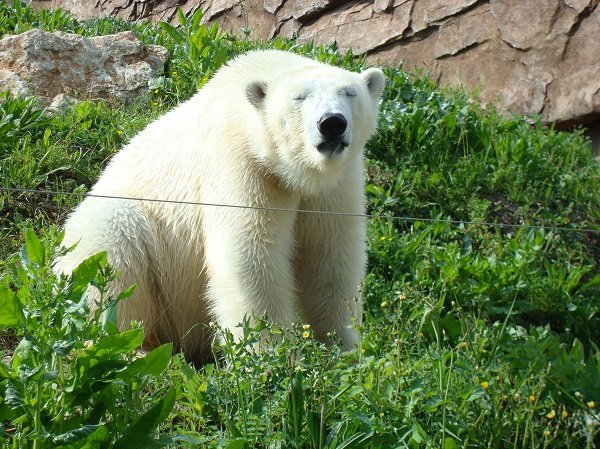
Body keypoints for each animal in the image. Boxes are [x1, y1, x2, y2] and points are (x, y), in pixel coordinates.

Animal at [55, 50, 384, 364]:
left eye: (349, 93)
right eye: (299, 98)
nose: (332, 124)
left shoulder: (335, 184)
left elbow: (330, 256)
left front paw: (345, 349)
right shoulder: (239, 163)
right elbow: (250, 253)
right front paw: (272, 356)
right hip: (122, 229)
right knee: (112, 267)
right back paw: (135, 352)